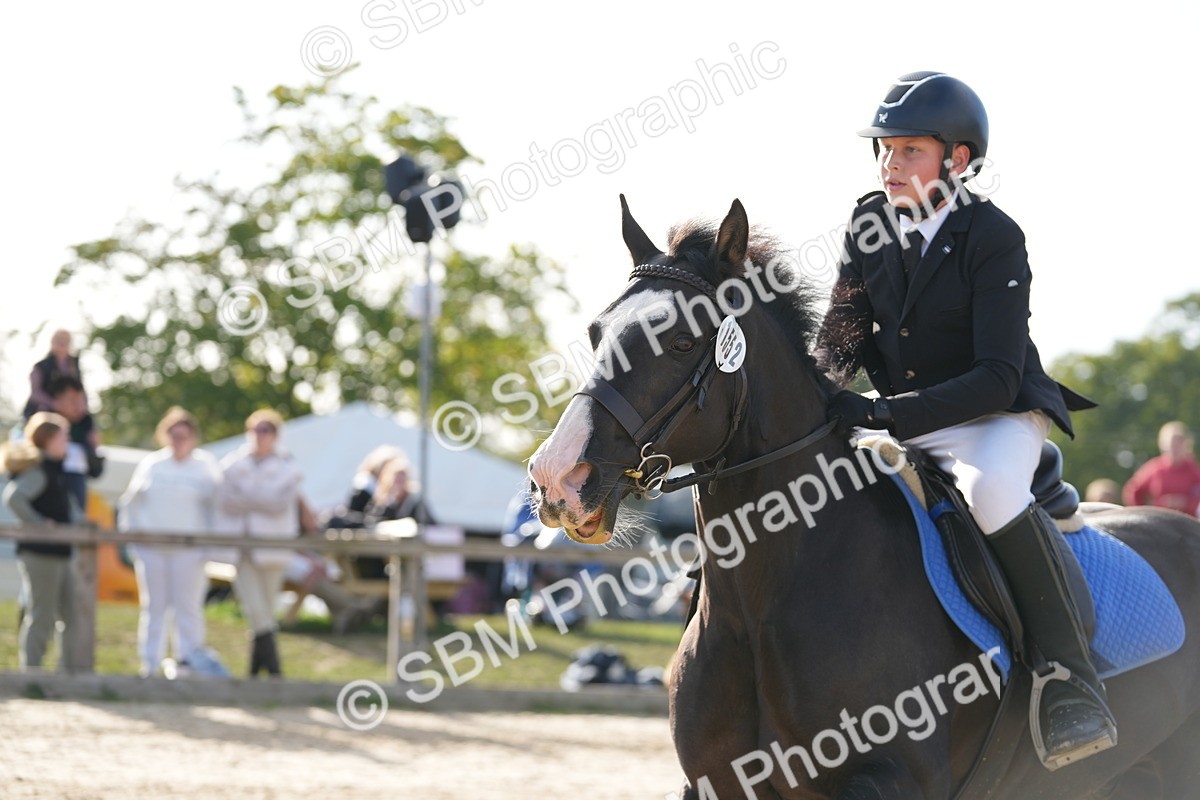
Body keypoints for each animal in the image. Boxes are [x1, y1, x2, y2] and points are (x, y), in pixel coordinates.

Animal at [527, 197, 1200, 799]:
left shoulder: (891, 782)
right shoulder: (719, 783)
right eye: (595, 333)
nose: (558, 477)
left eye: (684, 343)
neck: (761, 604)